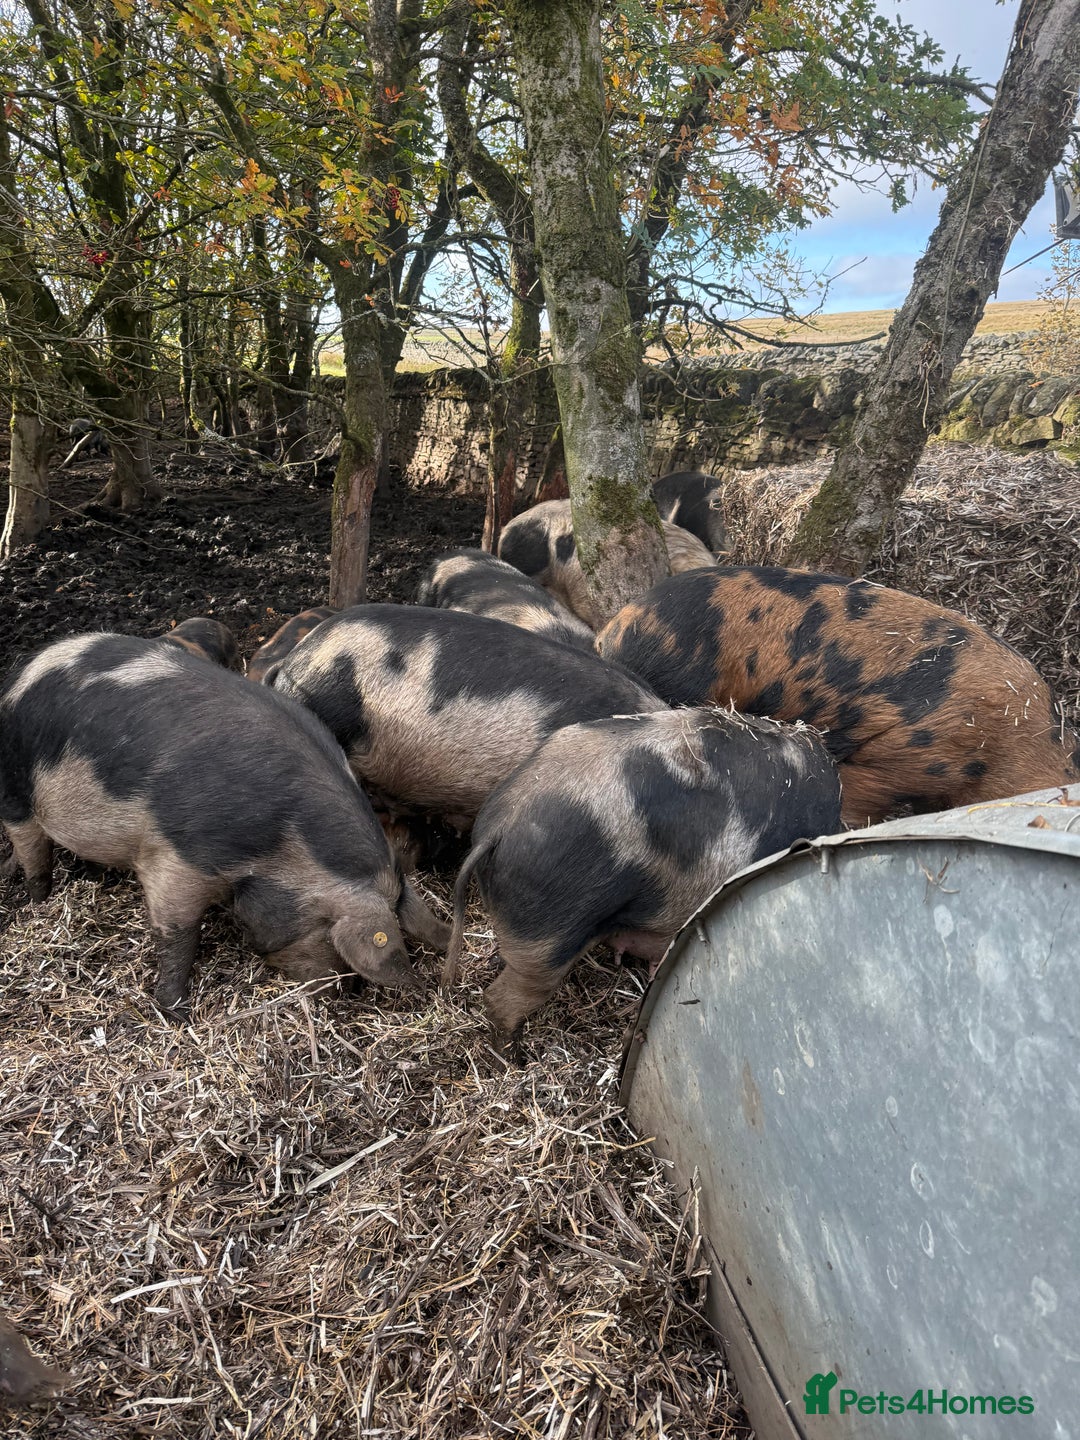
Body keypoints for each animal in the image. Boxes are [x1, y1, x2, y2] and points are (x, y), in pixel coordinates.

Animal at [0, 634, 449, 1014]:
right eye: (327, 932)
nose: (342, 994)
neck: (279, 839)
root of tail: (22, 672)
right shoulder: (175, 859)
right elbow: (178, 932)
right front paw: (175, 1010)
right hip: (15, 788)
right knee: (30, 846)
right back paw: (40, 900)